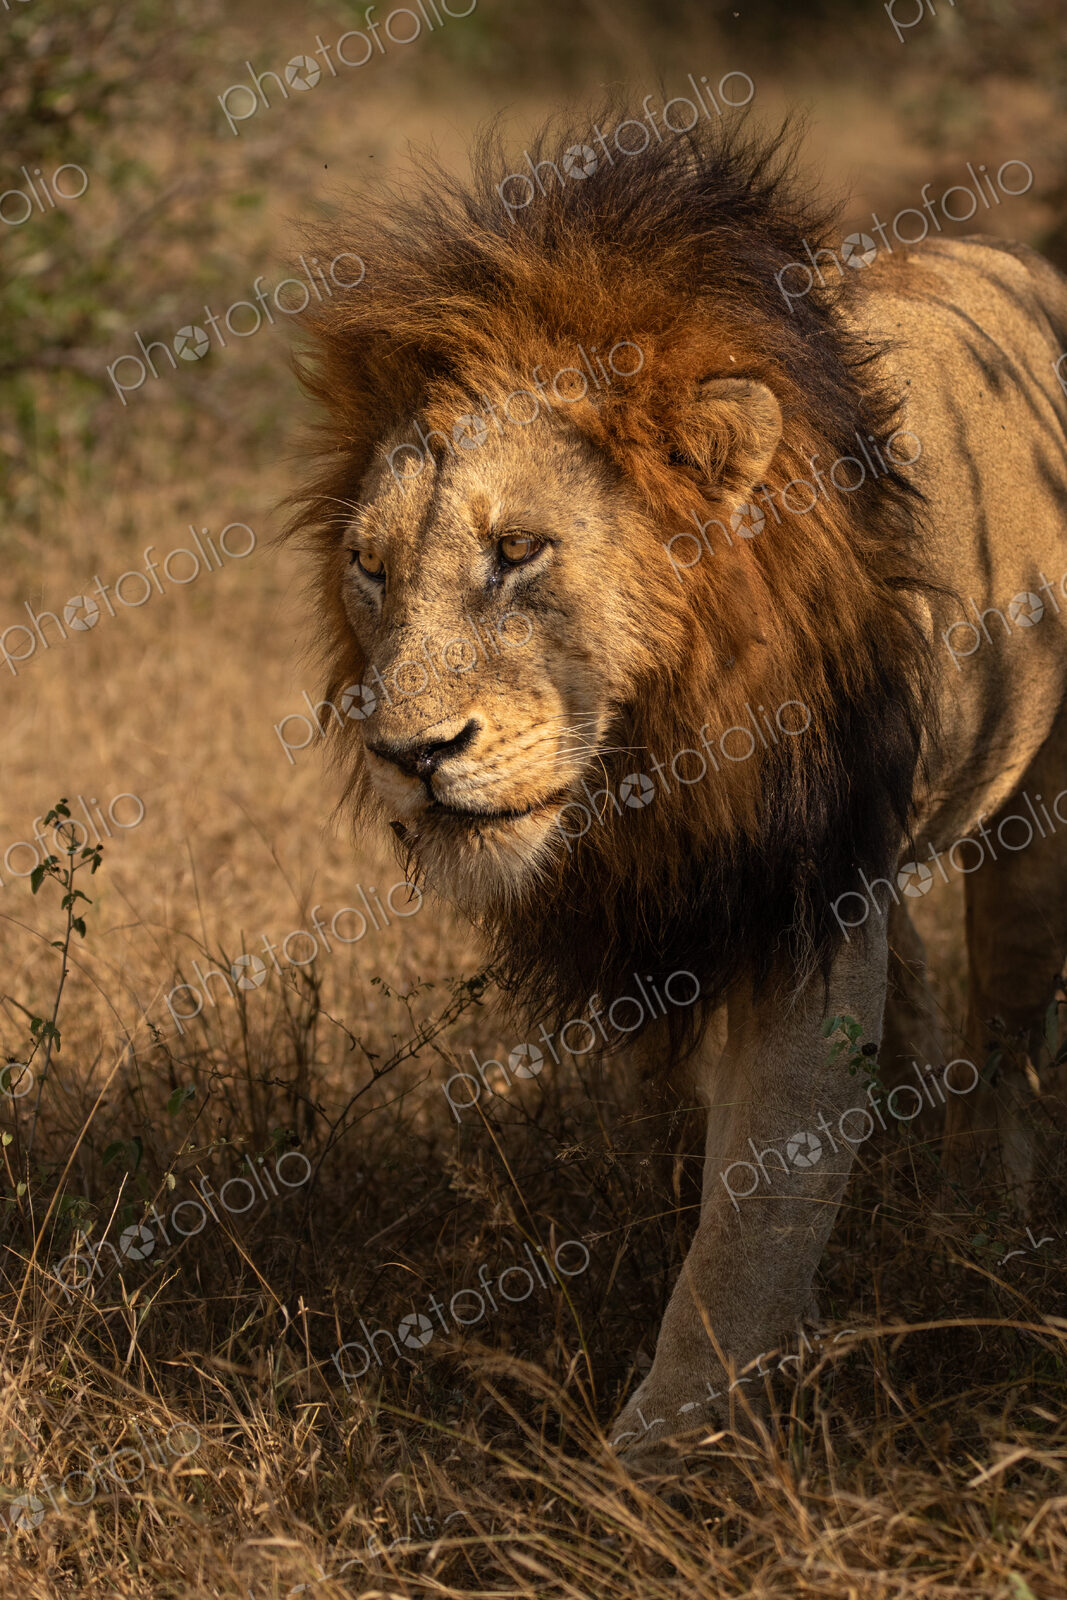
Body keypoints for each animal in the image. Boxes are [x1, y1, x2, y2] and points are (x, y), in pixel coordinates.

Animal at [287, 112, 1067, 1469]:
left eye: (517, 551)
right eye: (370, 569)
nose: (406, 753)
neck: (652, 755)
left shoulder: (800, 900)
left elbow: (753, 1206)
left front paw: (657, 1459)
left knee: (1011, 1023)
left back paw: (983, 1210)